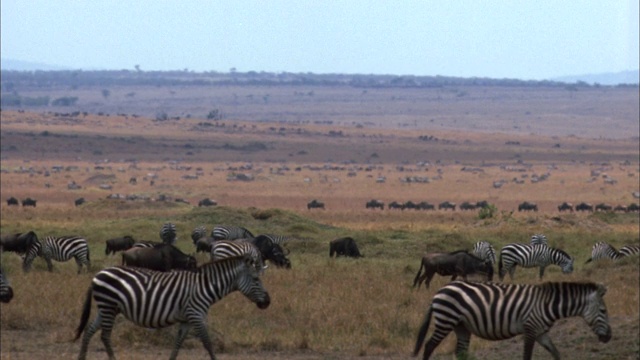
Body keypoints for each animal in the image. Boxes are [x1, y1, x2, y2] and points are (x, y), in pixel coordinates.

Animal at [74, 256, 270, 360]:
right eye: (256, 279)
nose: (268, 302)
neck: (205, 287)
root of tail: (98, 274)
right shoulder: (196, 315)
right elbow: (207, 342)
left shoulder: (186, 319)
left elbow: (178, 343)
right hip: (108, 305)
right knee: (105, 336)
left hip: (106, 308)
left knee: (89, 331)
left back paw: (81, 358)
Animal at [412, 282, 612, 360]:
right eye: (603, 311)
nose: (609, 337)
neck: (547, 304)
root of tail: (439, 291)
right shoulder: (530, 328)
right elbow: (526, 355)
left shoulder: (541, 332)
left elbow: (556, 353)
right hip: (446, 320)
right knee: (429, 345)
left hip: (461, 326)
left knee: (460, 352)